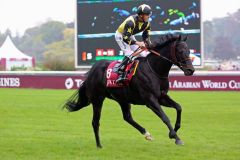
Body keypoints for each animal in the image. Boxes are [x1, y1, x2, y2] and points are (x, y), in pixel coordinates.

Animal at [63, 34, 195, 148]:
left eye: (189, 51)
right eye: (180, 51)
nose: (191, 70)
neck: (154, 69)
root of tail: (92, 70)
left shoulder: (161, 97)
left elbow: (179, 107)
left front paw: (173, 133)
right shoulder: (150, 100)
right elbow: (165, 117)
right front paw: (176, 138)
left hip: (122, 99)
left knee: (127, 117)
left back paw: (147, 134)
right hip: (97, 99)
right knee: (95, 122)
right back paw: (99, 145)